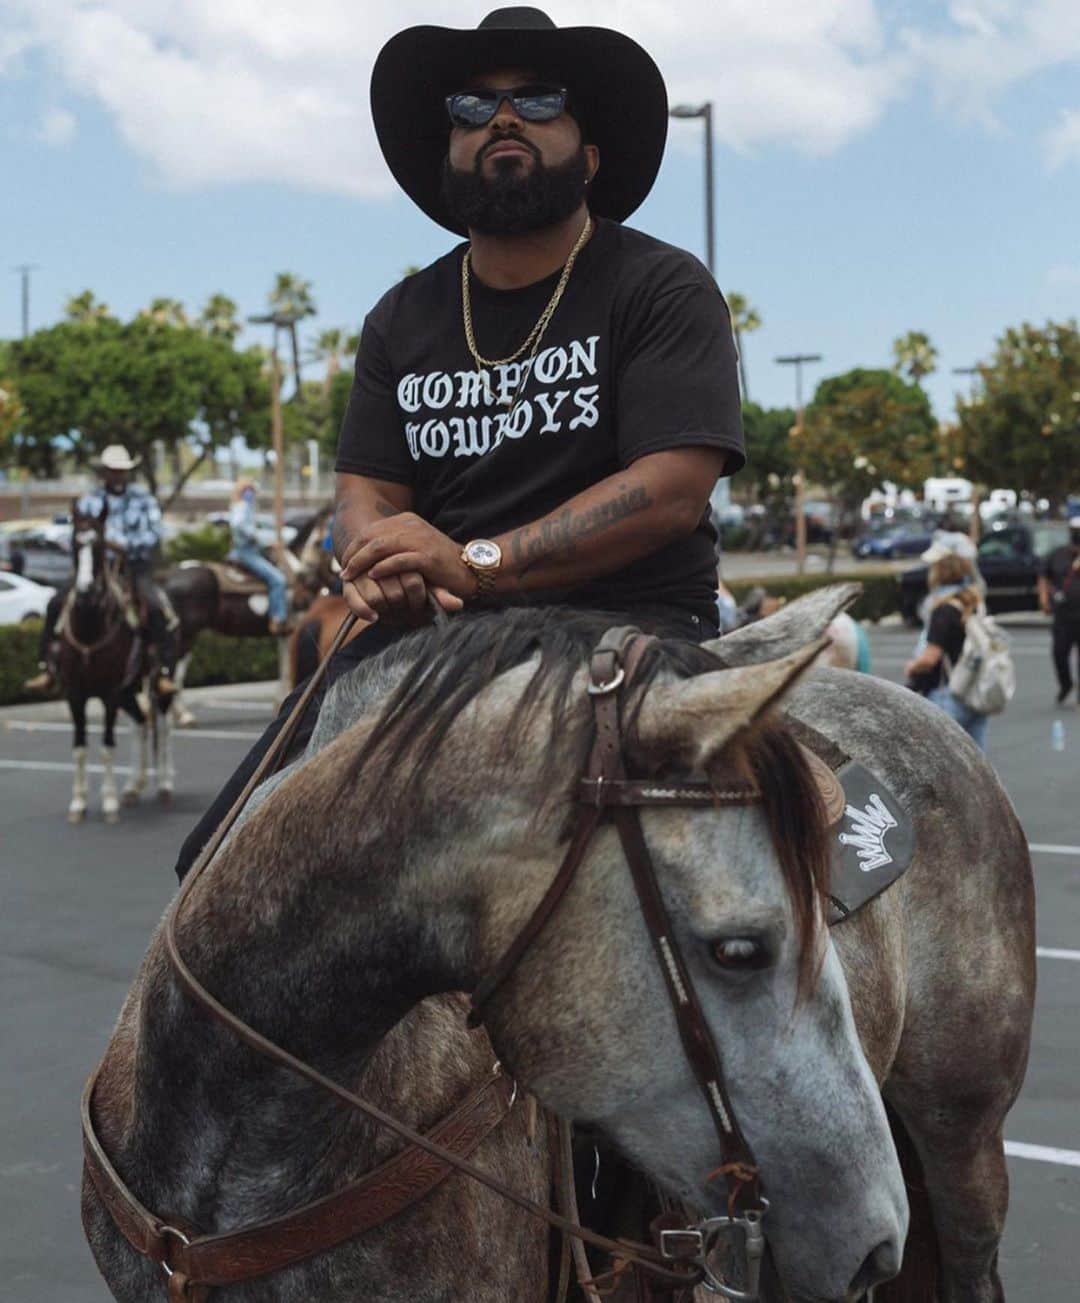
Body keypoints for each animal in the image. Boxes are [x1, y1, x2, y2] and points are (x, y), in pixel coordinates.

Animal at [56, 502, 173, 818]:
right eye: (74, 543)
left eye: (97, 546)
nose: (85, 591)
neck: (89, 630)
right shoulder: (75, 694)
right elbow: (80, 745)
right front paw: (78, 801)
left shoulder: (108, 692)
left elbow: (107, 745)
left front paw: (108, 801)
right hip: (127, 690)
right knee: (141, 722)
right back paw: (133, 786)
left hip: (159, 680)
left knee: (161, 723)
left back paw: (164, 784)